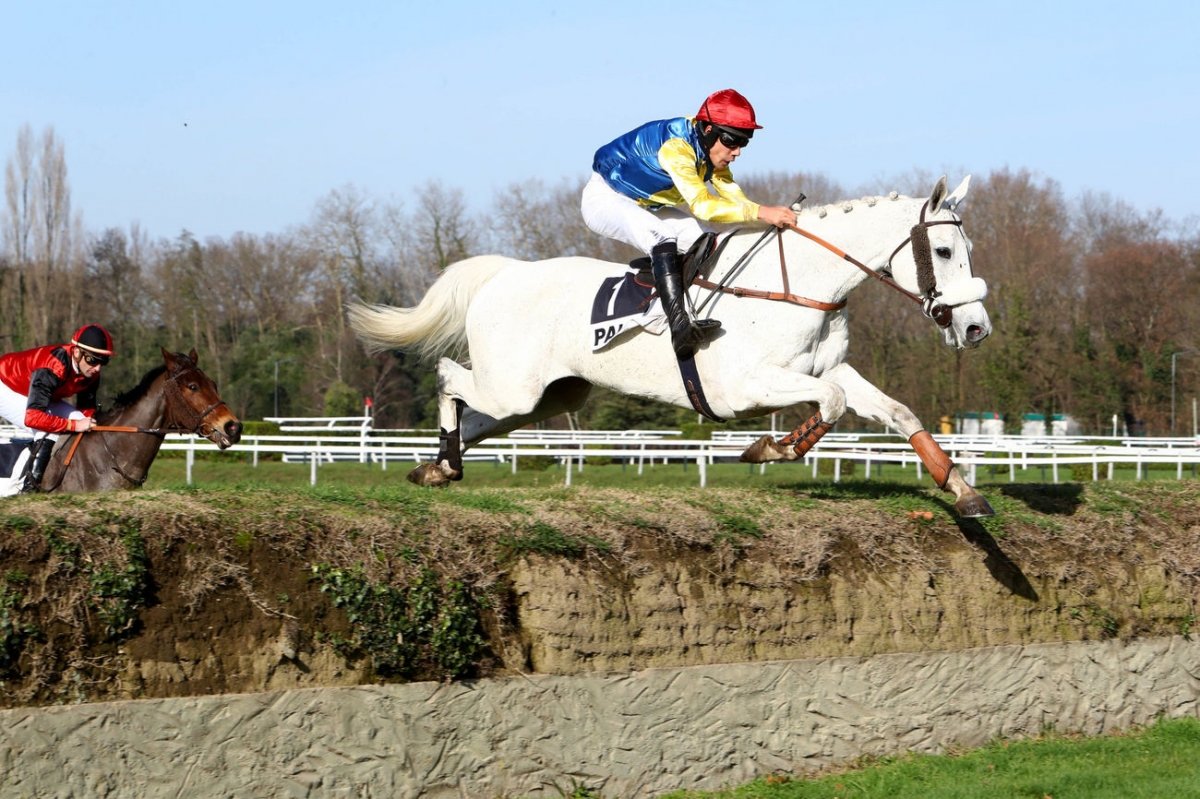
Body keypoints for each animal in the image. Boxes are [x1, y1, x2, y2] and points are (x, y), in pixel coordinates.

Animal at [348, 176, 995, 517]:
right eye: (942, 252)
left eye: (966, 250)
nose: (975, 328)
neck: (800, 286)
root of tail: (504, 274)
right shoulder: (748, 387)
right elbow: (830, 404)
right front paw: (773, 447)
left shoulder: (831, 367)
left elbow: (895, 410)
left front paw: (962, 490)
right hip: (514, 385)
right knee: (448, 376)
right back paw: (443, 461)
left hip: (545, 398)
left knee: (477, 416)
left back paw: (440, 465)